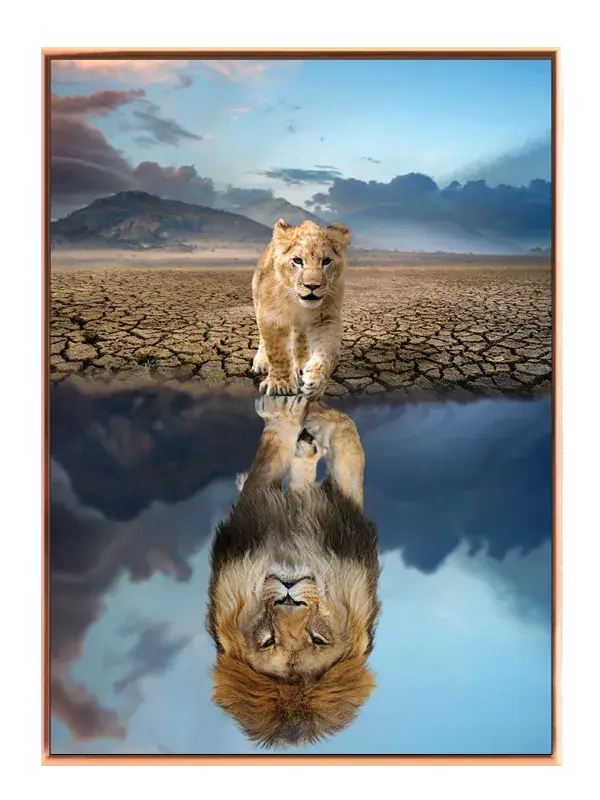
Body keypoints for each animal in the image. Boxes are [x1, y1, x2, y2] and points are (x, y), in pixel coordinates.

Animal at [206, 395, 380, 749]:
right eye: (268, 641)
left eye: (317, 639)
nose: (289, 597)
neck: (293, 552)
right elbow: (341, 441)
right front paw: (295, 415)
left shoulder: (343, 520)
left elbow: (345, 444)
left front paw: (297, 415)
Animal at [251, 218, 351, 400]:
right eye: (297, 260)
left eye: (326, 261)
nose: (312, 286)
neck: (297, 302)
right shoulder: (271, 316)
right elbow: (277, 352)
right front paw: (280, 384)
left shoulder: (325, 318)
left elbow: (328, 352)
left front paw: (316, 382)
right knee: (263, 339)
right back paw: (261, 362)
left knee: (301, 338)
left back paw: (301, 364)